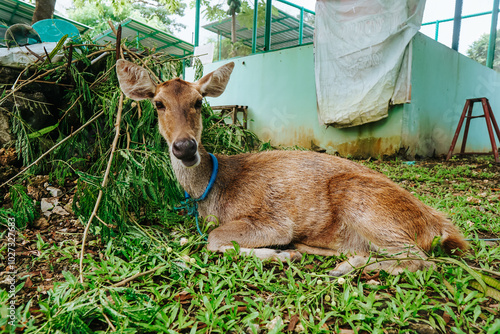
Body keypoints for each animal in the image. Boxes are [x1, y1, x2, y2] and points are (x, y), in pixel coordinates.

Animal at [115, 58, 466, 276]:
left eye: (199, 101)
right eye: (158, 103)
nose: (185, 147)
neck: (212, 193)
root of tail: (442, 227)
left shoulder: (274, 220)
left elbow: (214, 239)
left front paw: (278, 254)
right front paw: (285, 252)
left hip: (364, 203)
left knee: (422, 261)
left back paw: (340, 267)